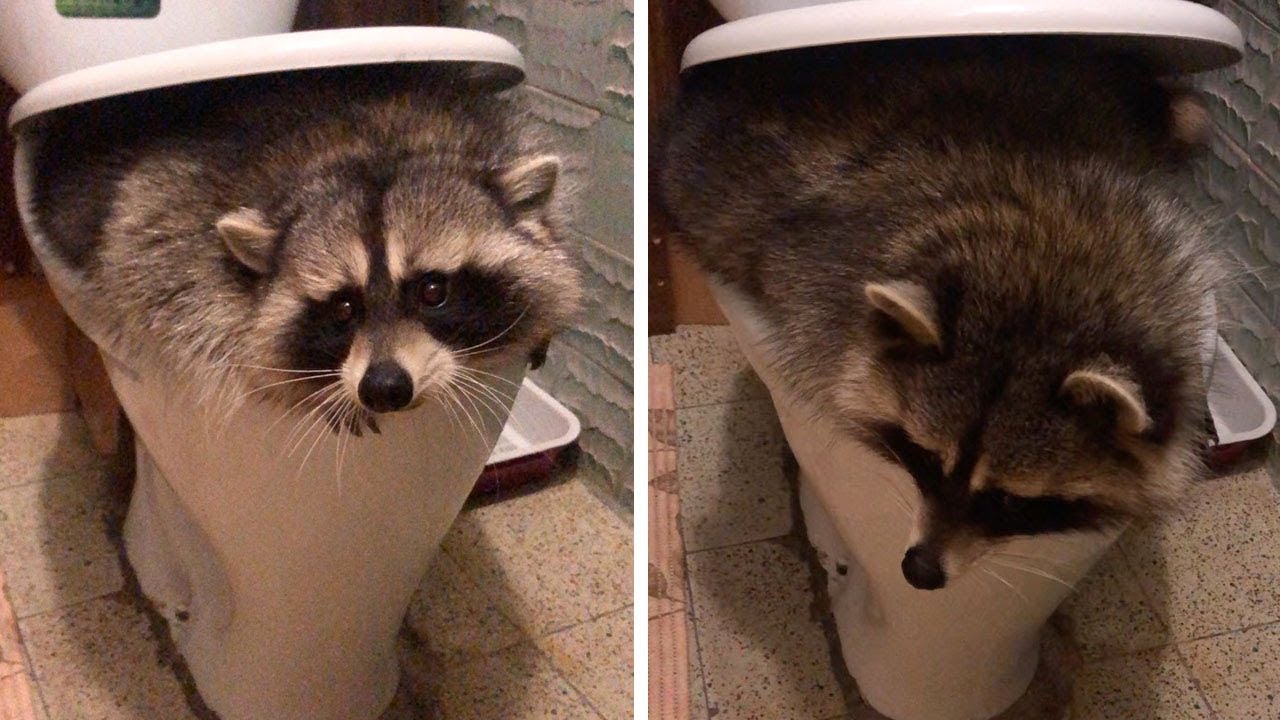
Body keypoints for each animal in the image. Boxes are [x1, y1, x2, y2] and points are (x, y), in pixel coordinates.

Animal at [28, 64, 581, 438]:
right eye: (343, 306)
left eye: (432, 290)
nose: (384, 387)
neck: (368, 150)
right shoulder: (169, 228)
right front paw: (314, 394)